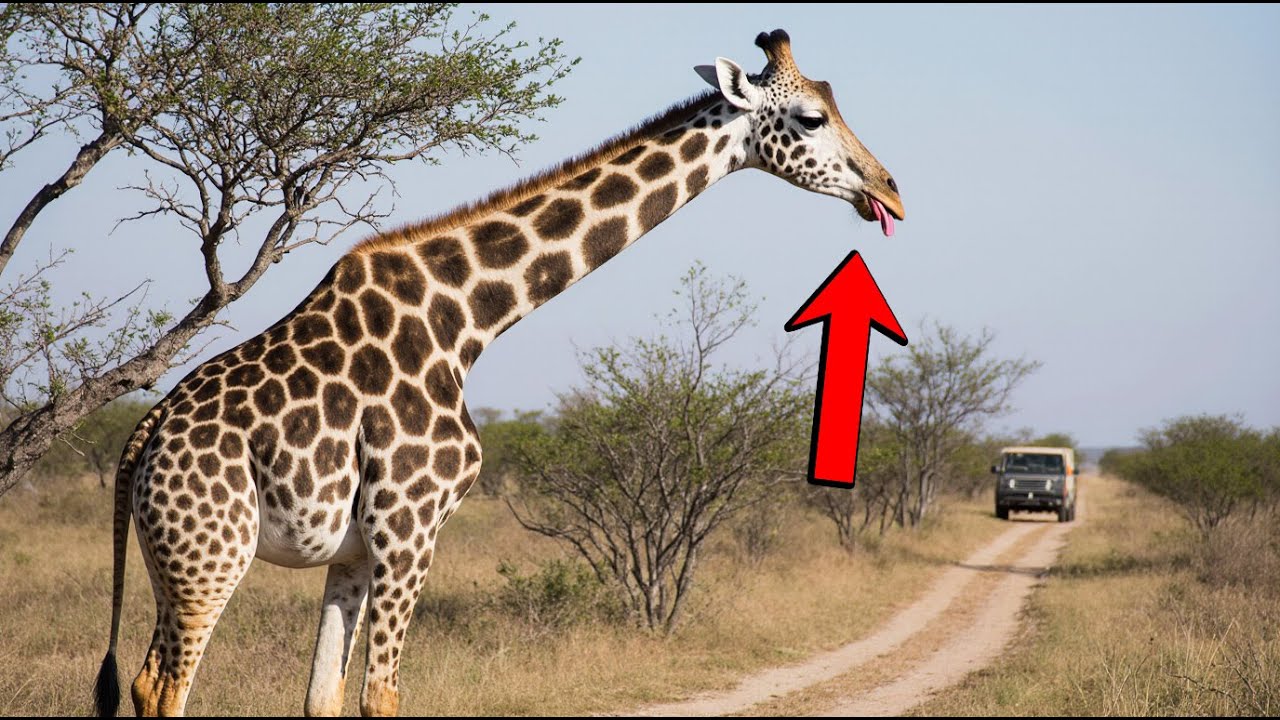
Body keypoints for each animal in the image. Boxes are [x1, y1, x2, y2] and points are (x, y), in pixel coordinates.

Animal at [93, 29, 904, 717]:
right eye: (809, 118)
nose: (889, 189)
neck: (468, 323)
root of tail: (143, 438)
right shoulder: (410, 527)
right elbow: (381, 697)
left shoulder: (354, 550)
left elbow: (324, 697)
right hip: (212, 555)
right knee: (163, 687)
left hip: (173, 562)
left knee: (143, 681)